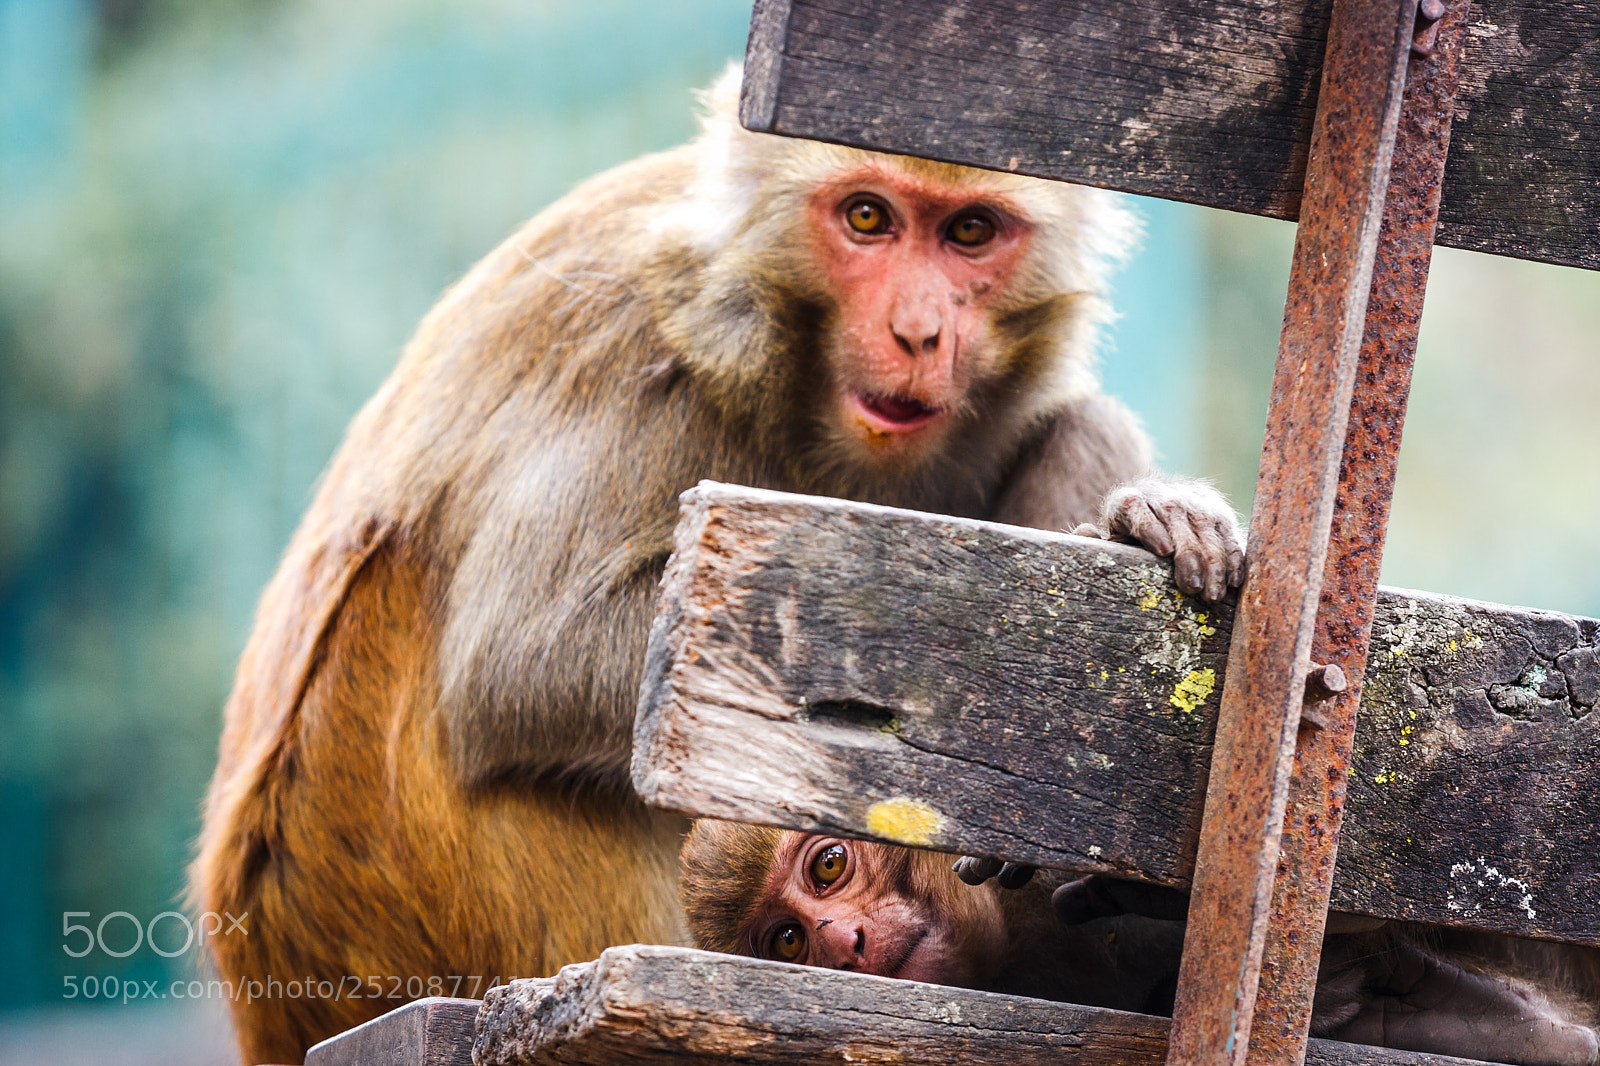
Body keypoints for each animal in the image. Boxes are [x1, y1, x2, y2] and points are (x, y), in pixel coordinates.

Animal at [190, 65, 1246, 1064]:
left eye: (971, 232)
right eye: (868, 217)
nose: (918, 333)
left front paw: (1144, 521)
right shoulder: (636, 345)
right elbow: (521, 662)